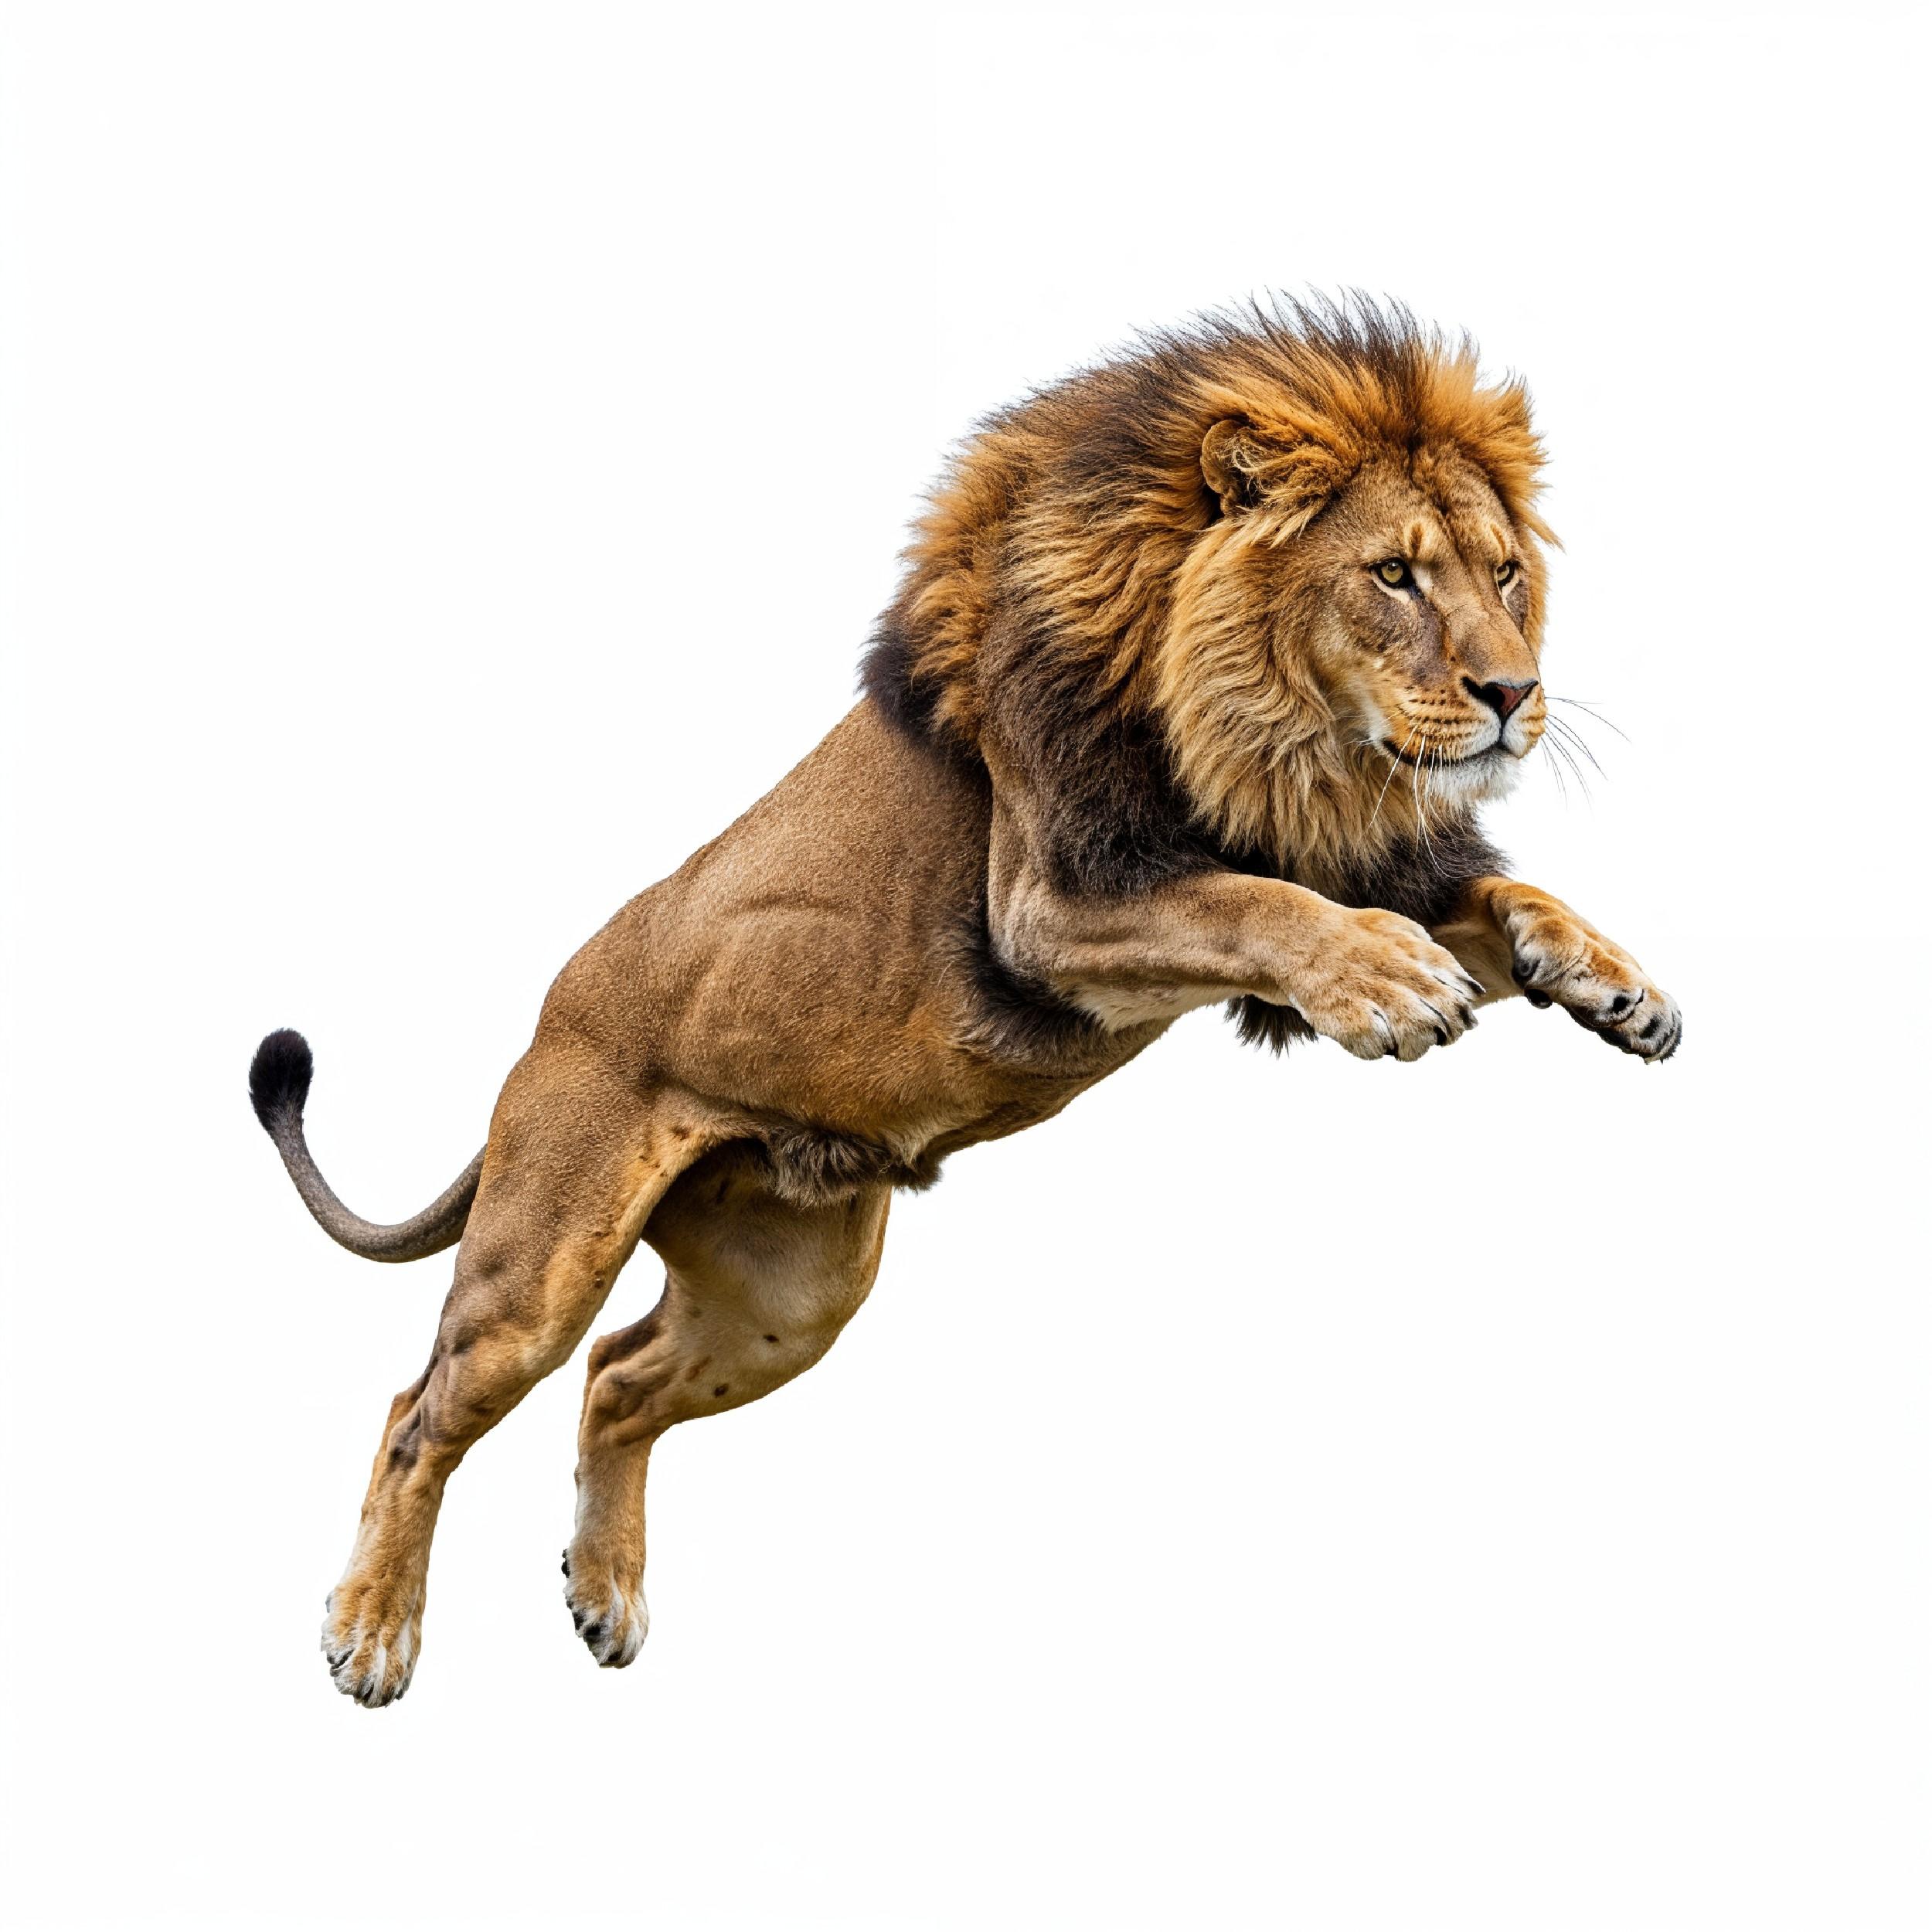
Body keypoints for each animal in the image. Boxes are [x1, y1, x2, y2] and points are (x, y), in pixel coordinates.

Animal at [252, 296, 1680, 1706]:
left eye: (1504, 574)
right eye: (1393, 576)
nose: (1514, 695)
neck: (1285, 744)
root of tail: (542, 1025)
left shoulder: (1329, 841)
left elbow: (1497, 898)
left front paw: (1612, 982)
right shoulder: (1052, 903)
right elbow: (1255, 908)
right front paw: (1389, 984)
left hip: (789, 1302)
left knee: (616, 1381)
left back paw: (604, 1592)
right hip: (543, 1260)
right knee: (424, 1410)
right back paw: (373, 1632)